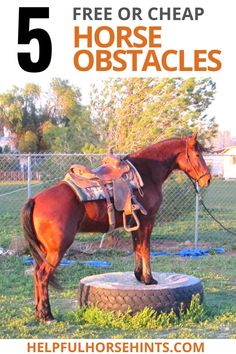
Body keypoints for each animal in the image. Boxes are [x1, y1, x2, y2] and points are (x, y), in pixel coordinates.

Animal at [21, 132, 210, 320]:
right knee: (42, 275)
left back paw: (39, 312)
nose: (207, 179)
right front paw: (149, 279)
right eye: (197, 154)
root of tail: (35, 200)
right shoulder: (148, 220)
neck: (146, 173)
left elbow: (137, 247)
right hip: (57, 249)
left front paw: (139, 276)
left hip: (44, 251)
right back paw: (46, 315)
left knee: (36, 274)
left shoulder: (135, 221)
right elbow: (146, 248)